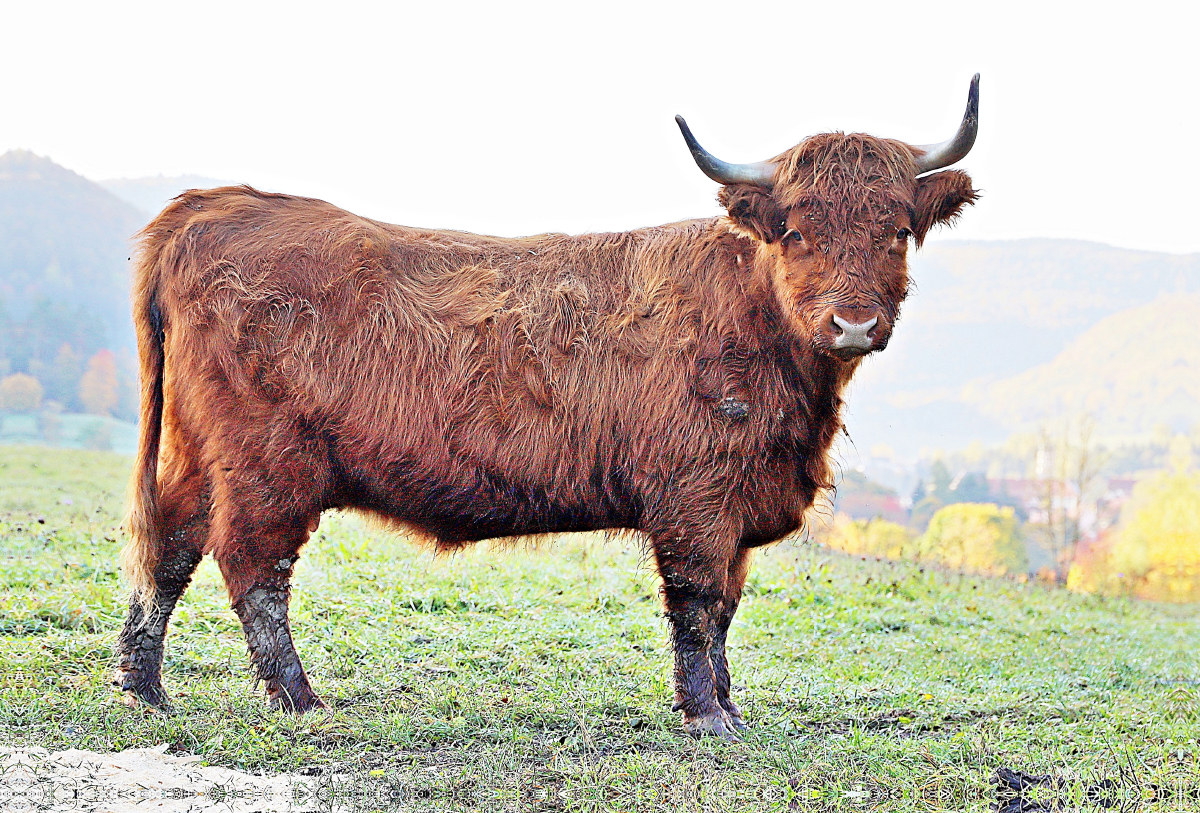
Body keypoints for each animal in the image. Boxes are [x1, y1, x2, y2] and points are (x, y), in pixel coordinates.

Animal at [112, 76, 979, 738]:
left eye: (898, 229)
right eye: (796, 230)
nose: (853, 323)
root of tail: (214, 203)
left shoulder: (734, 508)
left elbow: (728, 610)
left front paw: (731, 708)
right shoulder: (696, 499)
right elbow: (698, 607)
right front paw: (708, 718)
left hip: (198, 452)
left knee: (171, 544)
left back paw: (144, 685)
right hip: (268, 464)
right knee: (252, 564)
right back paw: (299, 697)